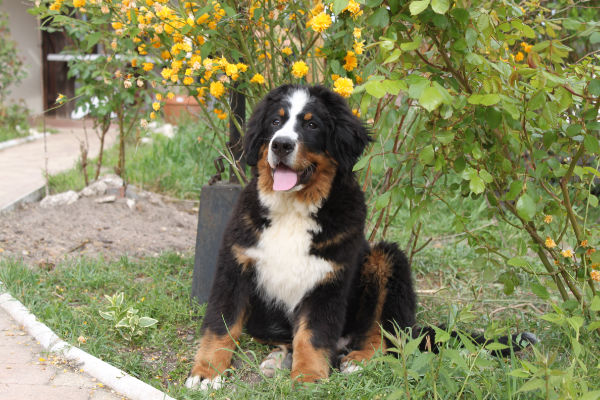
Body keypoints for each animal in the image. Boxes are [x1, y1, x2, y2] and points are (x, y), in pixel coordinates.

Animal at [184, 85, 536, 390]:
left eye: (311, 124)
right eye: (275, 121)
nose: (281, 144)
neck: (293, 210)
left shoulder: (328, 279)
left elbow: (313, 334)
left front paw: (308, 377)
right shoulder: (236, 266)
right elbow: (220, 326)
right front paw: (207, 373)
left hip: (387, 260)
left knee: (388, 336)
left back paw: (359, 359)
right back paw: (279, 358)